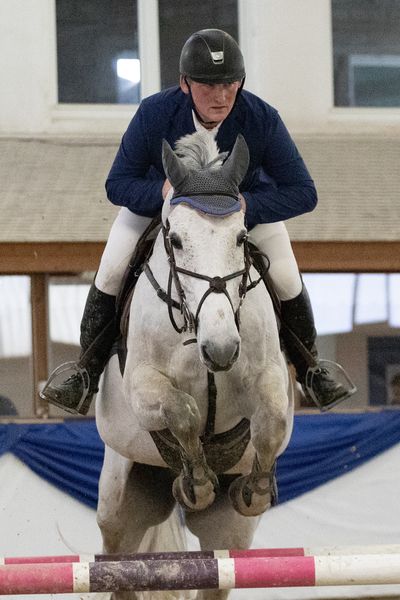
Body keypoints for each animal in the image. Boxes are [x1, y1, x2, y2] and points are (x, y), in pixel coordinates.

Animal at [94, 131, 294, 600]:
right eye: (177, 239)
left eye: (240, 237)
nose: (220, 350)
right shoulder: (142, 386)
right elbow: (181, 410)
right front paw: (197, 484)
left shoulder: (269, 376)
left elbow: (272, 420)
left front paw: (256, 489)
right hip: (118, 502)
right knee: (118, 565)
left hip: (227, 534)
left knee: (215, 574)